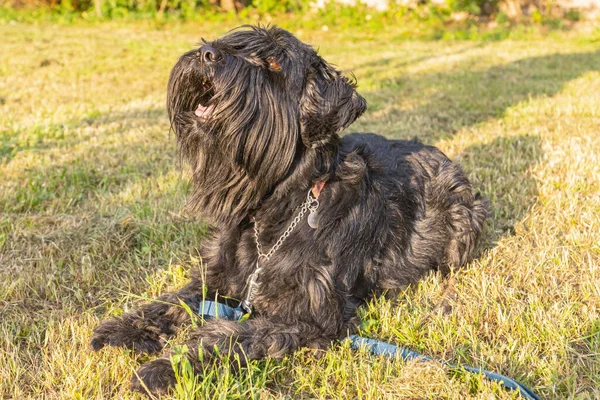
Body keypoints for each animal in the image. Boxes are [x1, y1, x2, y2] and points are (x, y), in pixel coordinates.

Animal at [91, 25, 490, 396]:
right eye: (233, 43)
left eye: (274, 64)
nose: (207, 54)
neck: (279, 205)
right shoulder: (217, 277)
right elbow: (174, 300)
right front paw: (124, 327)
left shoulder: (306, 317)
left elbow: (228, 336)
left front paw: (166, 369)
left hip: (464, 222)